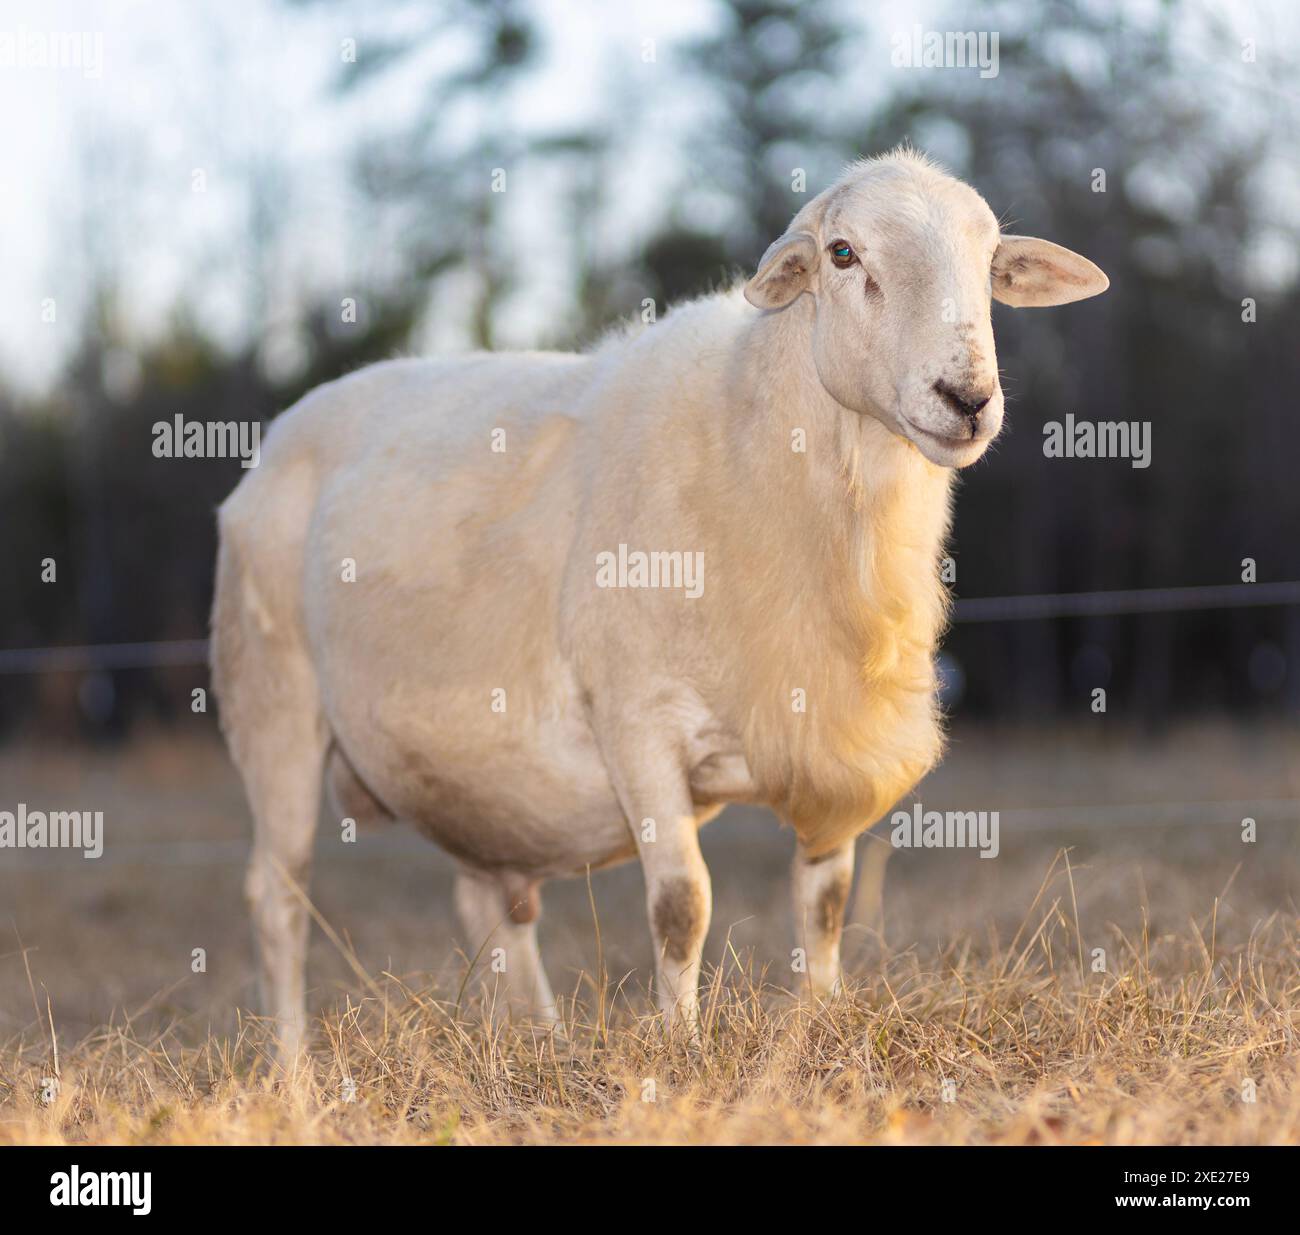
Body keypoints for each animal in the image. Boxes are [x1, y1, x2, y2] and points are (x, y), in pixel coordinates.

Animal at [210, 150, 1107, 1066]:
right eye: (844, 254)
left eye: (989, 260)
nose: (966, 397)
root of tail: (280, 435)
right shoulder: (637, 720)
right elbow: (683, 903)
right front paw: (682, 1044)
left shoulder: (827, 720)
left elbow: (824, 900)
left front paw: (820, 1020)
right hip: (273, 705)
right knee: (277, 899)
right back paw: (294, 1069)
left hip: (475, 784)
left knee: (492, 910)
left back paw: (540, 1044)